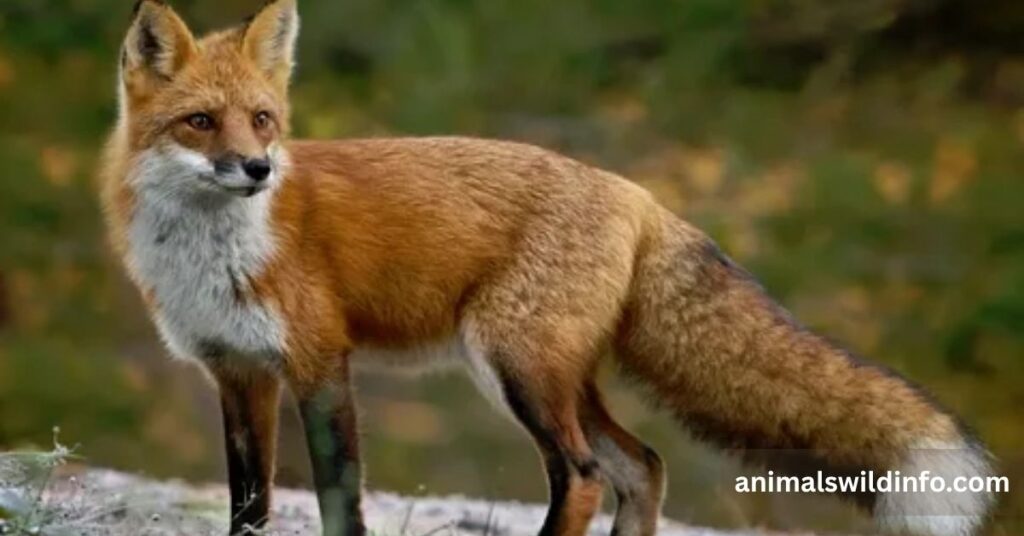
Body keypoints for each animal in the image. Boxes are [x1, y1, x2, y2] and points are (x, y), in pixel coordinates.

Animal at [100, 1, 997, 535]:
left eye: (262, 120)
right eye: (200, 122)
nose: (258, 170)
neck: (214, 255)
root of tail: (639, 194)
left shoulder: (321, 361)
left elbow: (337, 500)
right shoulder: (237, 372)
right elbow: (248, 501)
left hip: (519, 370)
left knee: (587, 474)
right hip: (553, 376)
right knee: (644, 466)